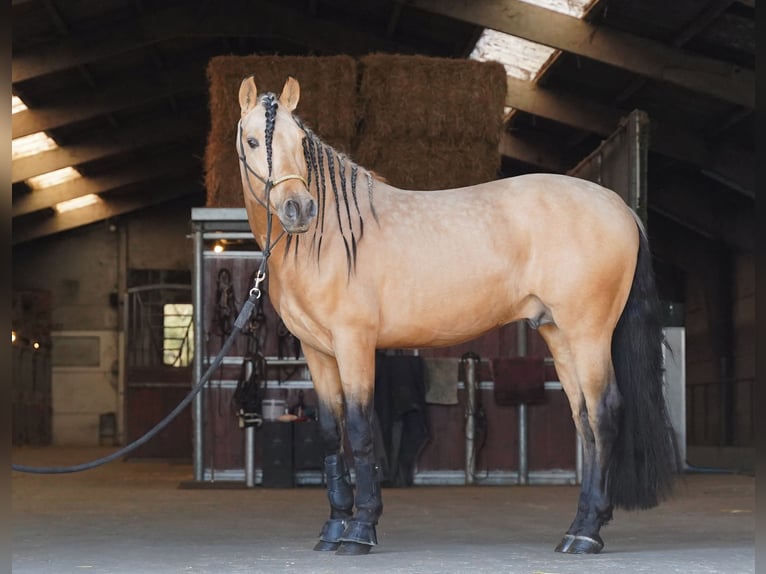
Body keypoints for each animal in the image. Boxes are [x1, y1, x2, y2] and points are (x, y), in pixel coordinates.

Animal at [234, 75, 680, 560]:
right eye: (253, 140)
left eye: (300, 143)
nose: (299, 209)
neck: (330, 236)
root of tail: (621, 207)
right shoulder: (317, 352)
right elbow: (333, 435)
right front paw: (333, 530)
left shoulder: (354, 344)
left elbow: (360, 429)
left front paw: (360, 531)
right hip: (560, 335)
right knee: (584, 420)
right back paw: (577, 528)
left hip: (589, 334)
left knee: (605, 413)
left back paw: (586, 535)